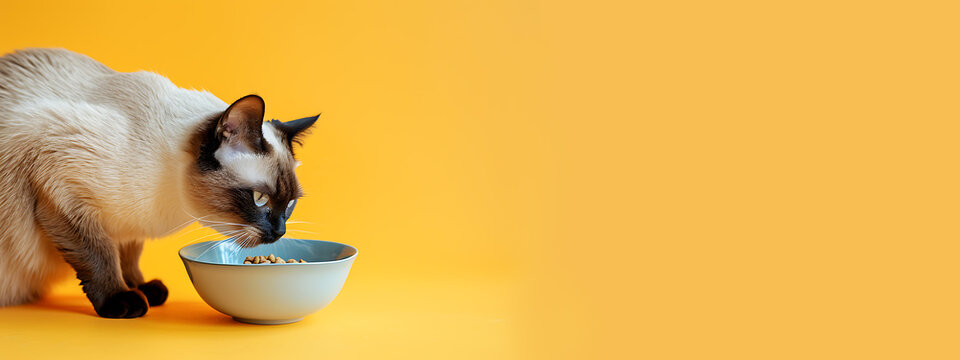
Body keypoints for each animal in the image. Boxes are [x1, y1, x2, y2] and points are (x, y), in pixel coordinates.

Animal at [0, 47, 322, 318]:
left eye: (290, 204)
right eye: (259, 198)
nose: (279, 232)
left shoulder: (126, 225)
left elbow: (128, 257)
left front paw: (141, 287)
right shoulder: (63, 191)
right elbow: (100, 256)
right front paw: (120, 299)